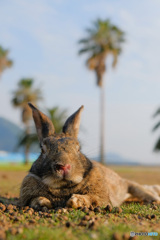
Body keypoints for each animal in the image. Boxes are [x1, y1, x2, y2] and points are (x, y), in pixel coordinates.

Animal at [19, 103, 160, 210]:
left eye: (78, 148)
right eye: (42, 149)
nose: (63, 167)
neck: (63, 187)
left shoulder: (101, 196)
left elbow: (92, 198)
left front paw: (75, 201)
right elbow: (35, 200)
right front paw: (45, 202)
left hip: (128, 185)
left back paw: (154, 199)